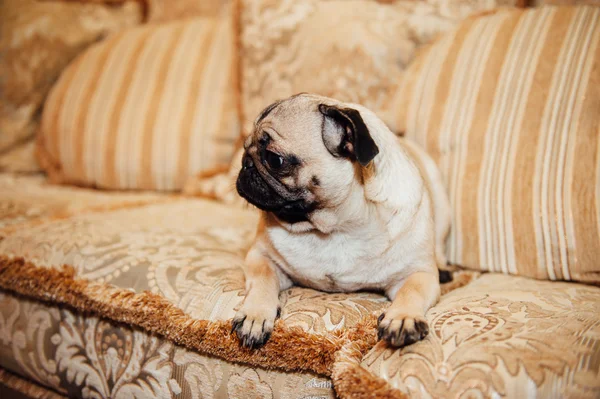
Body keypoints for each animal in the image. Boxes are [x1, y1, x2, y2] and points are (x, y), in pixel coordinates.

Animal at [232, 94, 448, 350]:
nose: (246, 164)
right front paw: (255, 314)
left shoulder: (417, 274)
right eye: (245, 147)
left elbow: (411, 292)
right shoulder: (261, 256)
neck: (336, 227)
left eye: (275, 160)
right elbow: (262, 280)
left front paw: (403, 318)